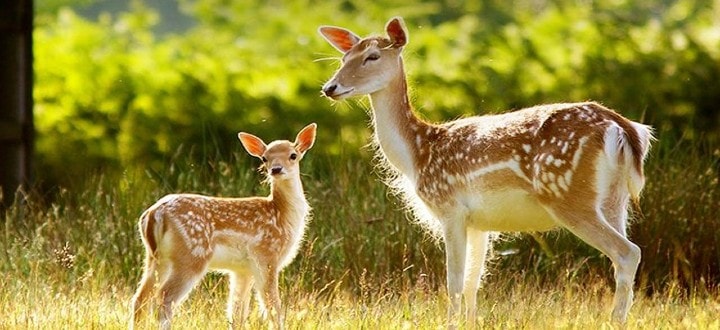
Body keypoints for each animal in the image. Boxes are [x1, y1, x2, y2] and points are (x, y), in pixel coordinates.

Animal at [131, 124, 316, 330]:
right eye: (264, 158)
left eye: (293, 155)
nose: (276, 169)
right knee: (164, 297)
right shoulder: (266, 256)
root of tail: (155, 214)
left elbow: (237, 312)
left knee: (140, 299)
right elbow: (273, 308)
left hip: (156, 258)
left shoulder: (242, 269)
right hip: (192, 255)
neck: (282, 215)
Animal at [318, 16, 656, 326]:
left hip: (568, 194)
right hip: (615, 200)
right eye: (343, 58)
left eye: (373, 56)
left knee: (627, 252)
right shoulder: (479, 223)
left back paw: (614, 321)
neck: (418, 154)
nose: (330, 88)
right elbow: (473, 283)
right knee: (622, 255)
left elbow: (454, 281)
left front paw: (449, 324)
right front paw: (470, 322)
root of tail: (622, 129)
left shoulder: (450, 207)